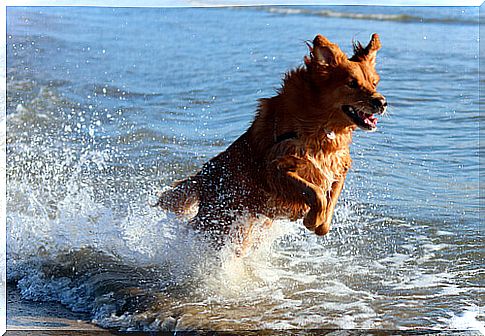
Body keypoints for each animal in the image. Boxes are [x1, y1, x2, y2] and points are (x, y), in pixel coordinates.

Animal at [155, 33, 386, 249]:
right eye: (352, 84)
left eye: (374, 83)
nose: (382, 102)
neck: (321, 126)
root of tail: (202, 176)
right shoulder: (275, 168)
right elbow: (317, 193)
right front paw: (311, 219)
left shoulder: (337, 168)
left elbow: (327, 206)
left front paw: (318, 222)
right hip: (220, 221)